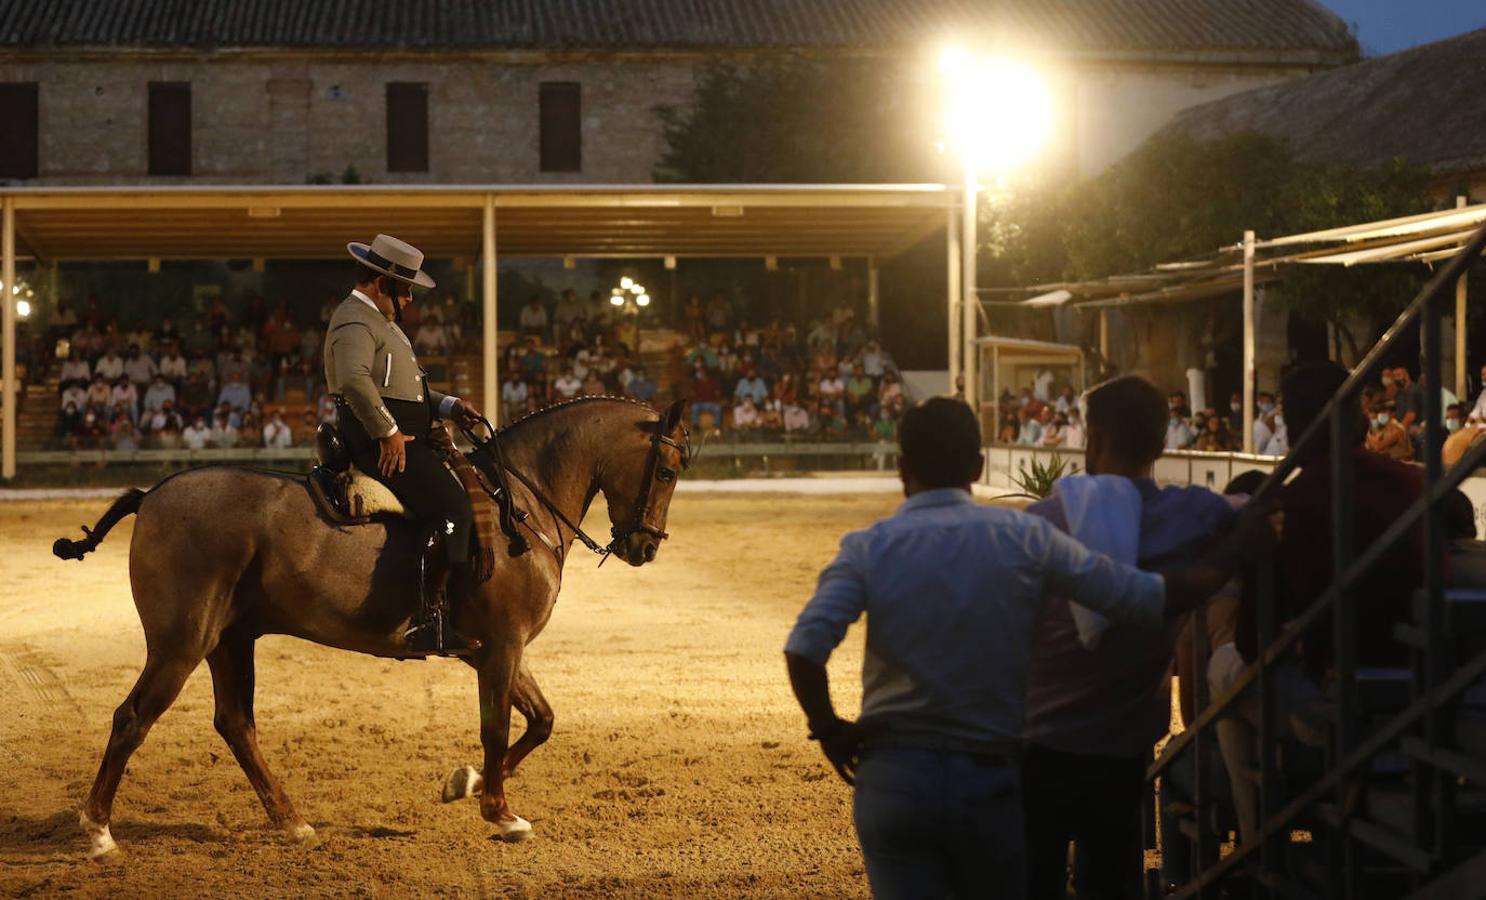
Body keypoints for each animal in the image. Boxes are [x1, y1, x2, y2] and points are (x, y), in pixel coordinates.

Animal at [50, 398, 689, 861]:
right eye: (667, 468)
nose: (645, 547)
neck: (520, 503)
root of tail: (154, 494)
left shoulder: (494, 651)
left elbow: (541, 722)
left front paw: (467, 784)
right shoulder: (502, 648)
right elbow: (498, 729)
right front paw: (499, 812)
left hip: (230, 641)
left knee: (236, 725)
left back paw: (291, 822)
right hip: (181, 644)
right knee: (133, 719)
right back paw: (99, 831)